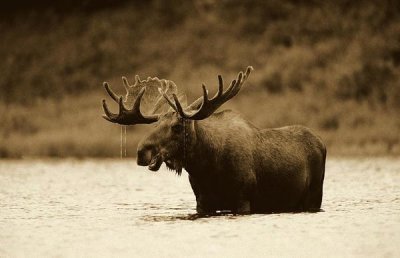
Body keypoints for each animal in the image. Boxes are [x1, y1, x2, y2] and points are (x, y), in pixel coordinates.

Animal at [101, 66, 326, 214]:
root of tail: (322, 143)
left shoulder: (243, 199)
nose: (142, 152)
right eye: (154, 125)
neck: (206, 167)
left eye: (177, 126)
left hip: (314, 195)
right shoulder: (202, 201)